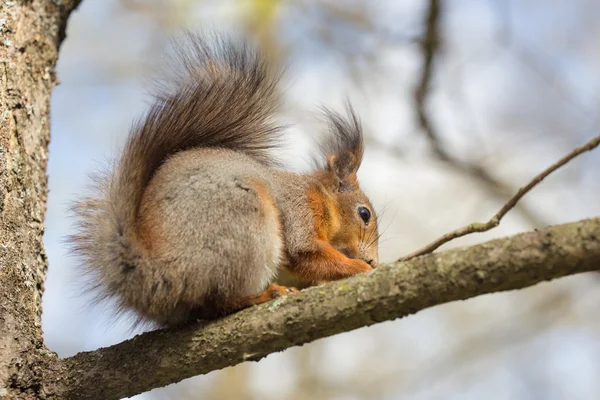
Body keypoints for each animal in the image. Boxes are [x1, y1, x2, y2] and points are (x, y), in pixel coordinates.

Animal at [70, 33, 380, 328]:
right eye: (364, 214)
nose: (373, 260)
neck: (319, 196)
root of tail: (157, 274)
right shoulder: (300, 211)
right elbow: (307, 253)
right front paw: (359, 269)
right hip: (245, 226)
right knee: (217, 303)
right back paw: (261, 296)